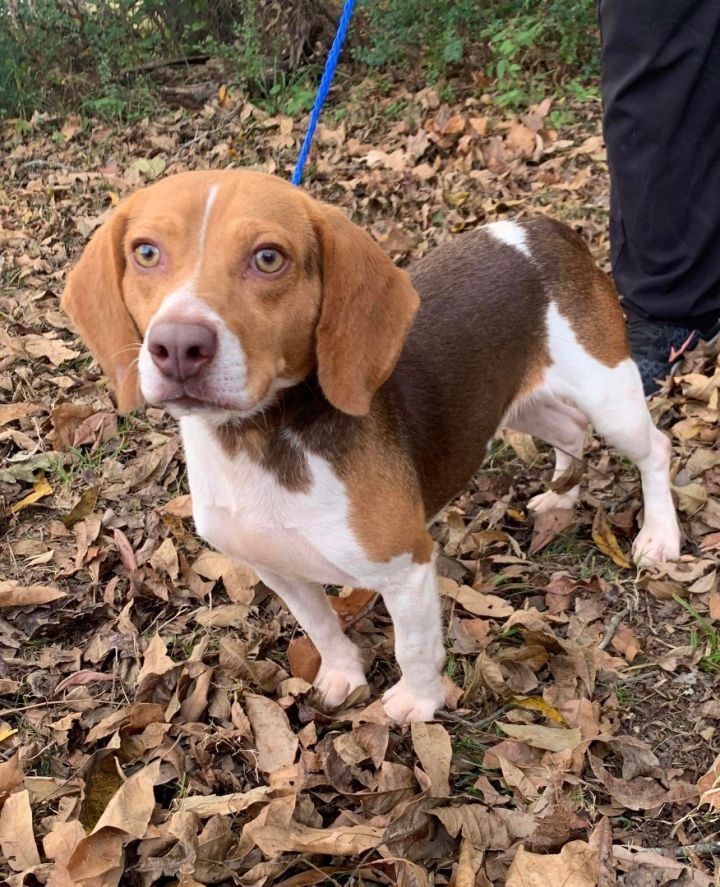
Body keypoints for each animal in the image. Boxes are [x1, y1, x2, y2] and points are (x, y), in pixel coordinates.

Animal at [62, 170, 680, 724]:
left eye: (269, 258)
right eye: (146, 252)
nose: (177, 346)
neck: (258, 439)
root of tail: (541, 228)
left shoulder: (407, 567)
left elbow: (414, 648)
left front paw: (419, 703)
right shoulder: (277, 569)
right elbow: (321, 627)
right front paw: (343, 675)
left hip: (610, 396)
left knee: (655, 447)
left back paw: (659, 536)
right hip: (519, 402)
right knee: (570, 430)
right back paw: (560, 498)